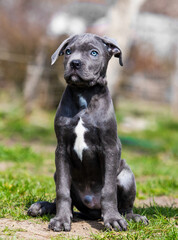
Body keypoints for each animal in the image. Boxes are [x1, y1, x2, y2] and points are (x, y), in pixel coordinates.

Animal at [28, 33, 149, 231]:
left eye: (94, 53)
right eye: (68, 51)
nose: (75, 63)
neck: (84, 93)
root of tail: (93, 210)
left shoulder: (109, 147)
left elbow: (109, 190)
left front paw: (113, 220)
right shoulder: (61, 149)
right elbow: (62, 191)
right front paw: (61, 220)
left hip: (126, 174)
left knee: (124, 207)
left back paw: (131, 217)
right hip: (57, 174)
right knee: (69, 202)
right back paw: (42, 207)